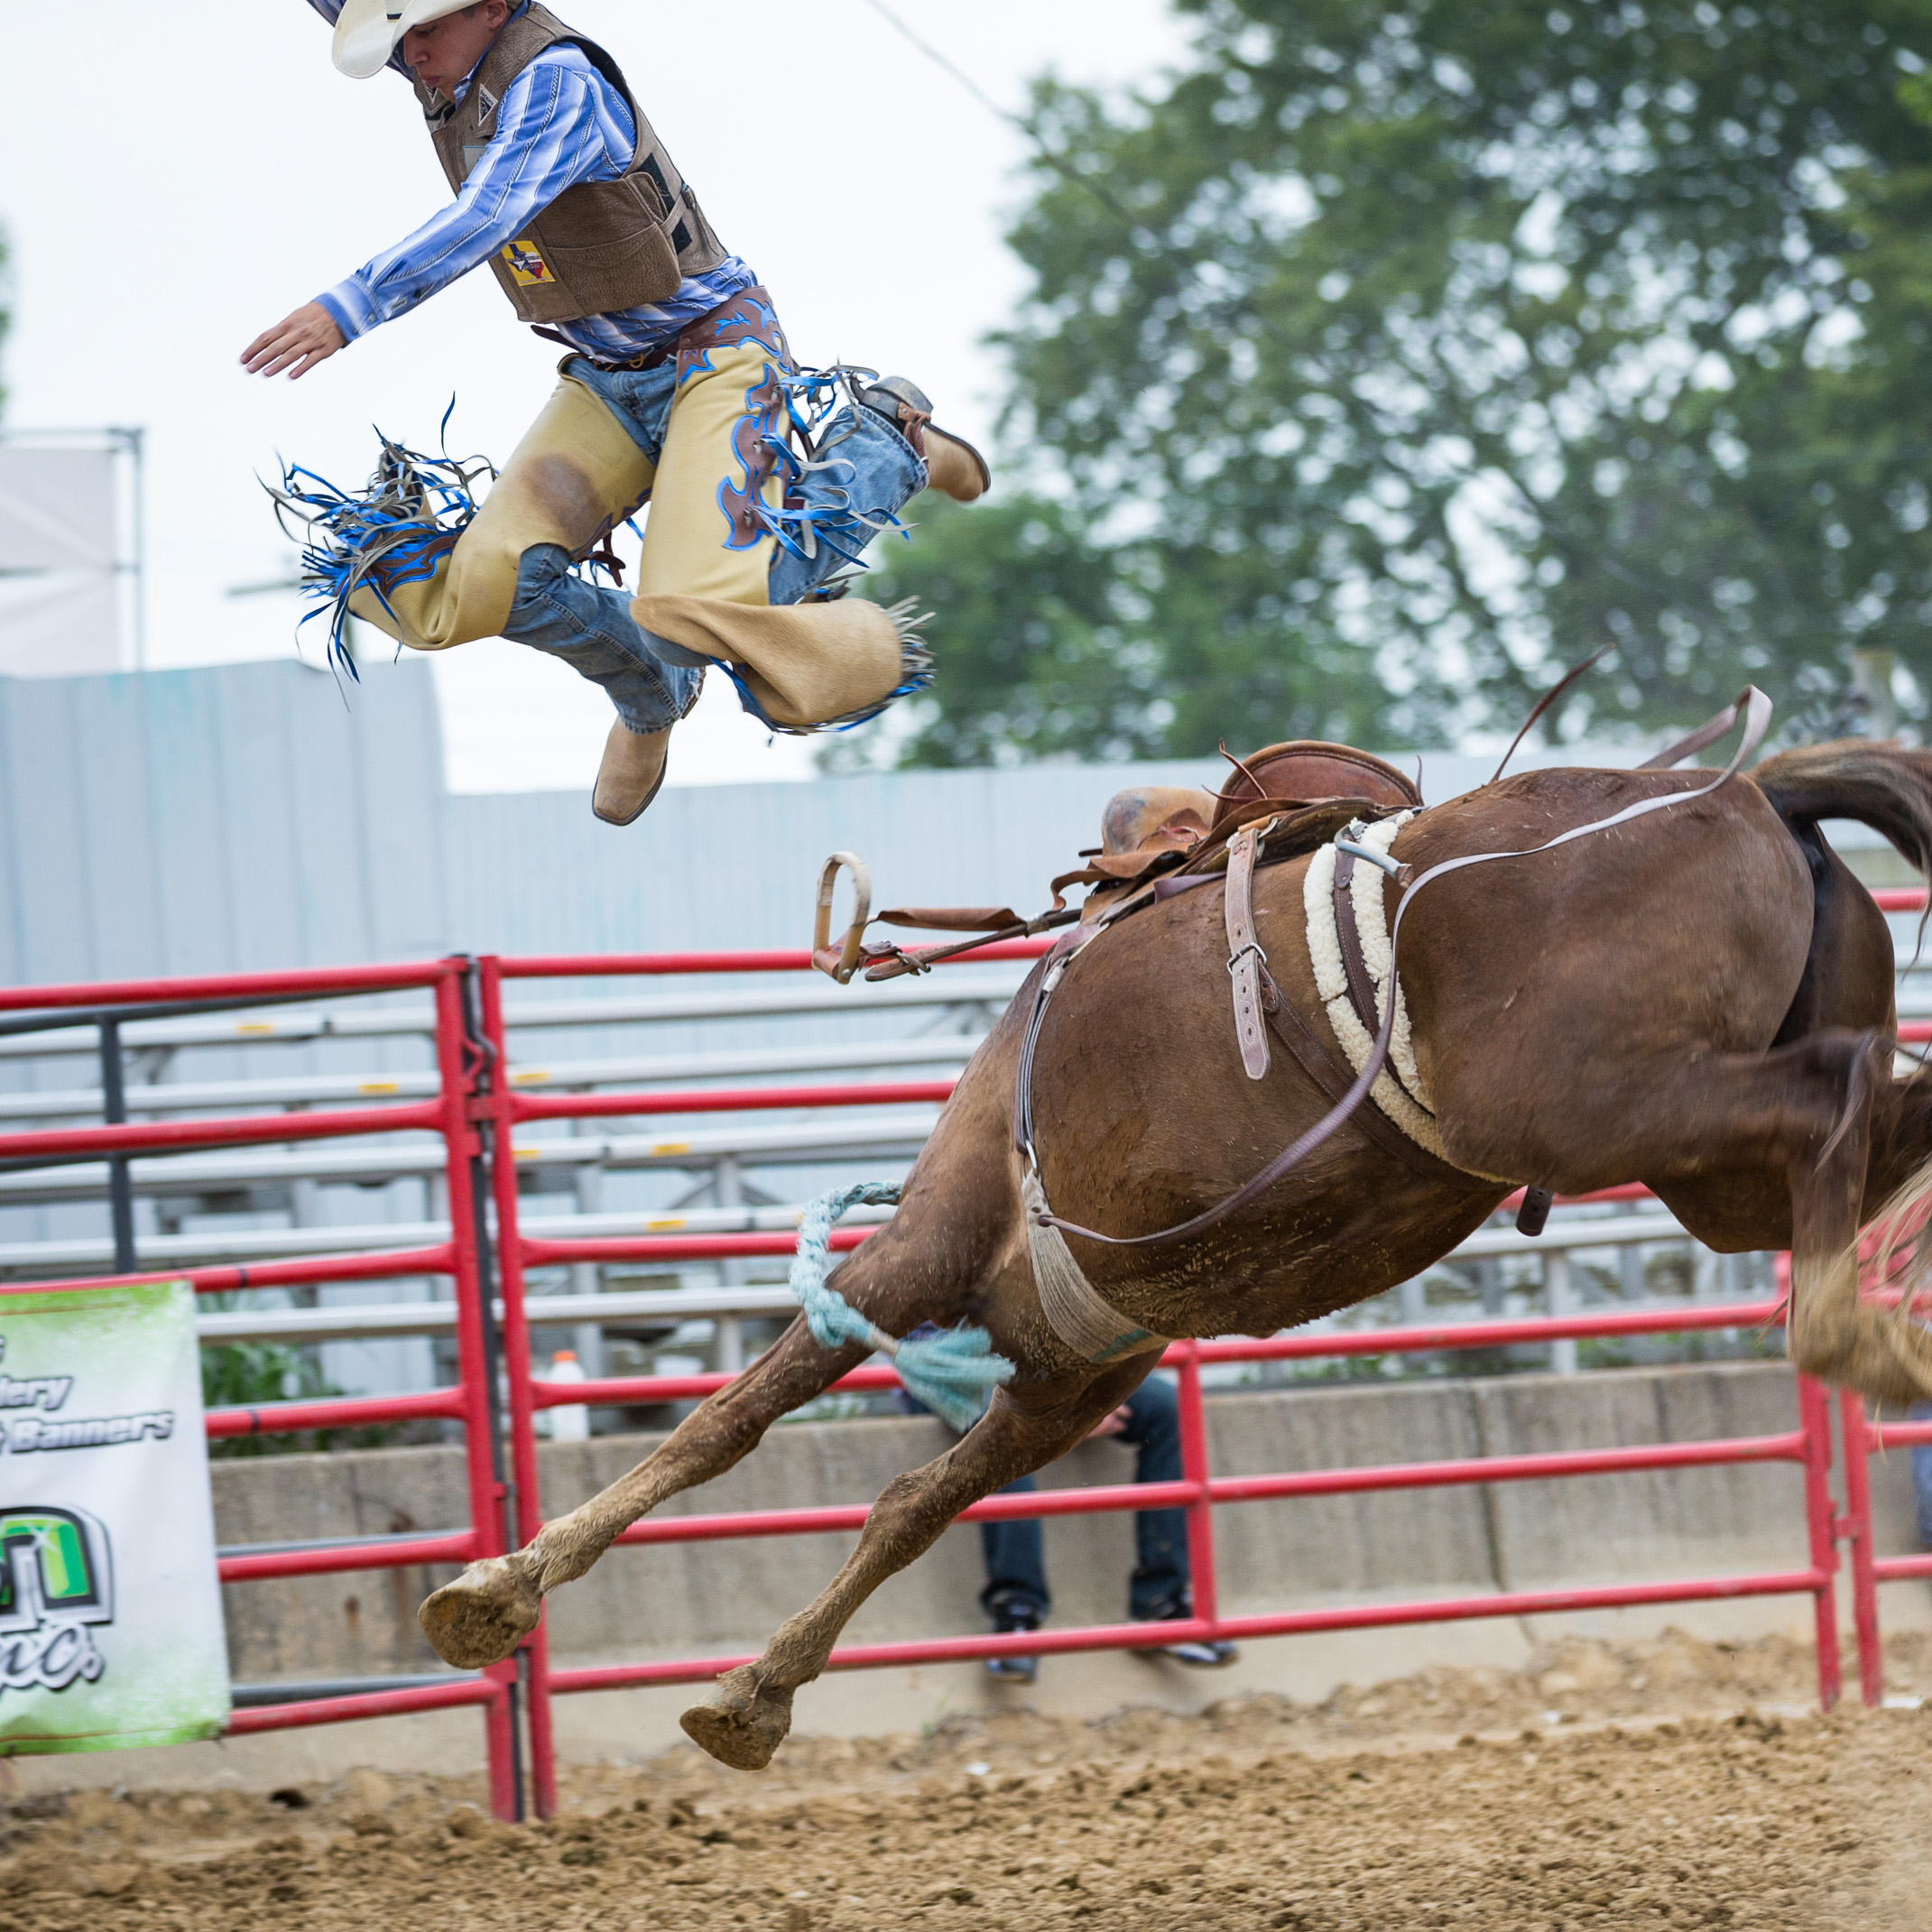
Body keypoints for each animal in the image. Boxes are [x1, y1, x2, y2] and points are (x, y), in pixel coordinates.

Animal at [415, 726, 1932, 1770]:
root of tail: (1755, 793)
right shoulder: (1068, 1375)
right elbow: (909, 1504)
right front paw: (756, 1691)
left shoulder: (923, 1248)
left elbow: (727, 1420)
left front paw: (495, 1589)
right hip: (1700, 1166)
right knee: (1877, 1103)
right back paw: (1884, 1322)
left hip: (1610, 1108)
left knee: (1844, 1090)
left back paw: (1855, 1332)